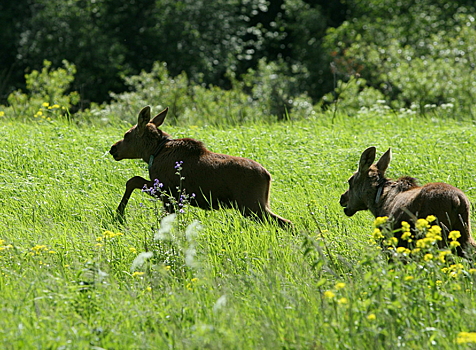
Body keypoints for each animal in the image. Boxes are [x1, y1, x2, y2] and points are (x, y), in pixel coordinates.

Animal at [109, 105, 292, 228]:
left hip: (251, 204)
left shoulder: (167, 190)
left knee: (286, 222)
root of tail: (268, 176)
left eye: (127, 134)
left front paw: (119, 212)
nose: (113, 148)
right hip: (258, 204)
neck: (154, 152)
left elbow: (132, 180)